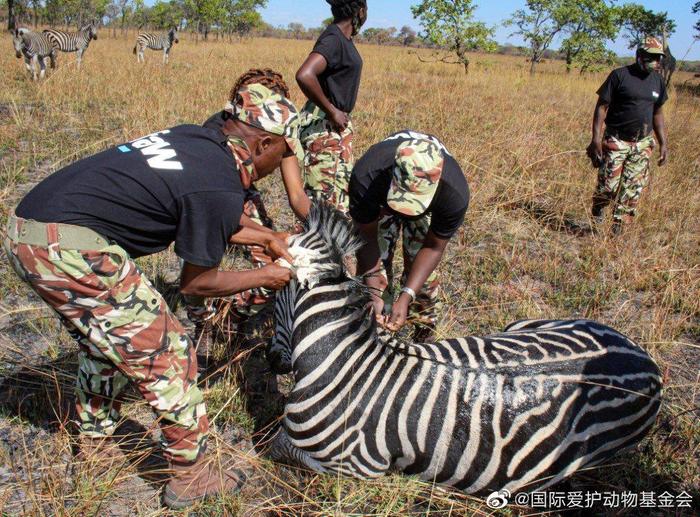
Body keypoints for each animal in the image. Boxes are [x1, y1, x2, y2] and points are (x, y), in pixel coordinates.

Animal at [266, 204, 660, 498]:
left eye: (273, 292)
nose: (271, 360)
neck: (345, 362)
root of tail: (643, 357)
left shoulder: (353, 465)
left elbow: (276, 445)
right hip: (524, 325)